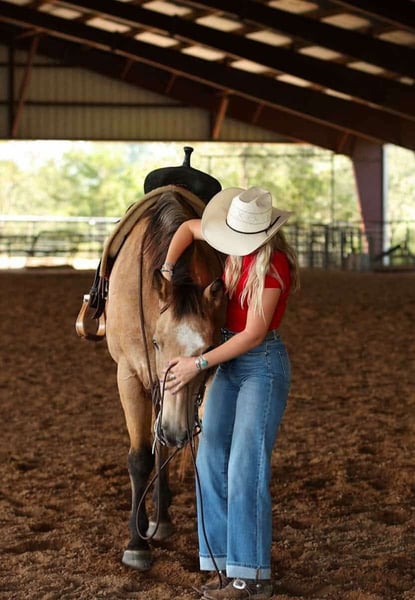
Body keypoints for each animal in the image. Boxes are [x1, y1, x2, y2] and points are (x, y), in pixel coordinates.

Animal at [105, 188, 226, 571]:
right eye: (157, 342)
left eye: (208, 348)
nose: (175, 429)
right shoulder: (129, 374)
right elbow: (140, 457)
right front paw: (136, 543)